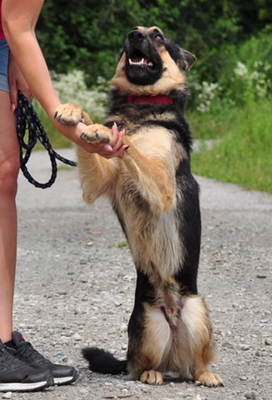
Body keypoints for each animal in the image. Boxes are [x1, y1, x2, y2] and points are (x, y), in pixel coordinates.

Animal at [54, 25, 223, 388]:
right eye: (132, 33)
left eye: (158, 36)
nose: (134, 34)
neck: (141, 106)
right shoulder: (98, 182)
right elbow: (94, 139)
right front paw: (75, 111)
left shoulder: (161, 185)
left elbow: (131, 145)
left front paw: (104, 130)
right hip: (147, 324)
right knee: (143, 365)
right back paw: (151, 372)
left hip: (198, 312)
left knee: (196, 364)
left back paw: (206, 374)